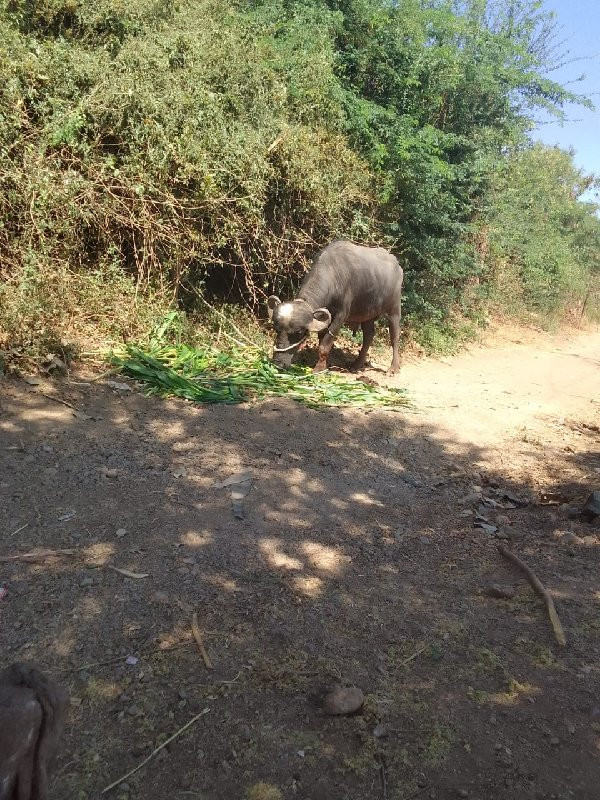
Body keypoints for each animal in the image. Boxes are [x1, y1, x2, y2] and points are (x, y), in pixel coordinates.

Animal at [268, 239, 404, 374]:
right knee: (368, 336)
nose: (278, 363)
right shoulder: (322, 316)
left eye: (299, 332)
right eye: (276, 329)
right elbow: (321, 340)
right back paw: (357, 365)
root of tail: (398, 266)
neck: (334, 276)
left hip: (394, 309)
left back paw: (393, 368)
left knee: (394, 337)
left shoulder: (340, 316)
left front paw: (318, 369)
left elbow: (325, 344)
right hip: (368, 314)